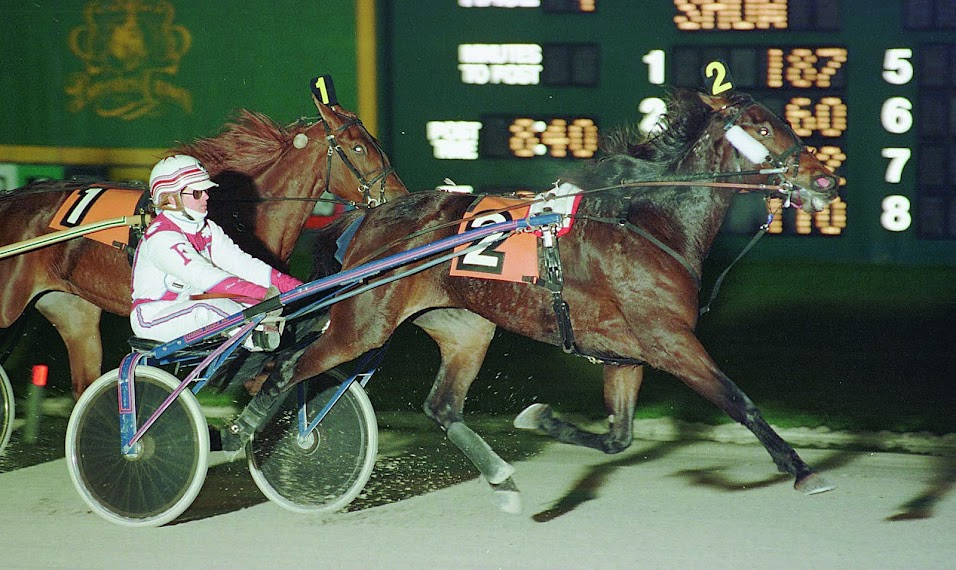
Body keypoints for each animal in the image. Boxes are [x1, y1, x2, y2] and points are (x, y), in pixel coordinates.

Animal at [237, 90, 836, 510]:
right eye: (764, 126)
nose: (824, 179)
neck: (648, 224)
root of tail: (372, 215)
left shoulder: (626, 355)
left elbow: (618, 438)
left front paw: (541, 420)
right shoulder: (670, 341)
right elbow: (739, 401)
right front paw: (803, 470)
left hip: (465, 327)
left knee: (441, 405)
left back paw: (501, 479)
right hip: (362, 324)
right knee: (289, 366)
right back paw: (249, 428)